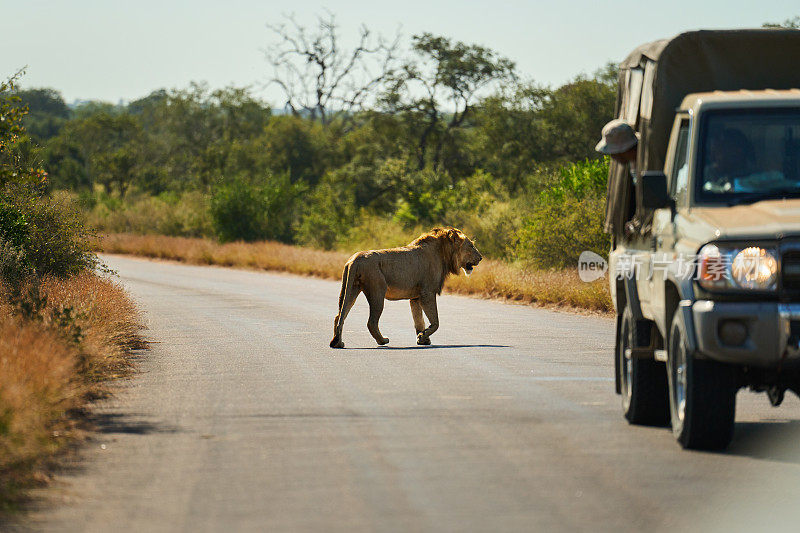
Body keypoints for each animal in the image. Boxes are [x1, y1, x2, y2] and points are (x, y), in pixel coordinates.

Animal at [330, 225, 482, 348]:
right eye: (471, 246)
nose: (480, 258)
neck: (443, 253)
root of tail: (356, 259)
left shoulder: (416, 297)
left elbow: (418, 320)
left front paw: (423, 339)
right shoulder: (427, 292)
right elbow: (436, 321)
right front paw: (423, 336)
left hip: (349, 290)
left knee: (339, 316)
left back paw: (337, 343)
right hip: (377, 292)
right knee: (371, 322)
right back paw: (383, 341)